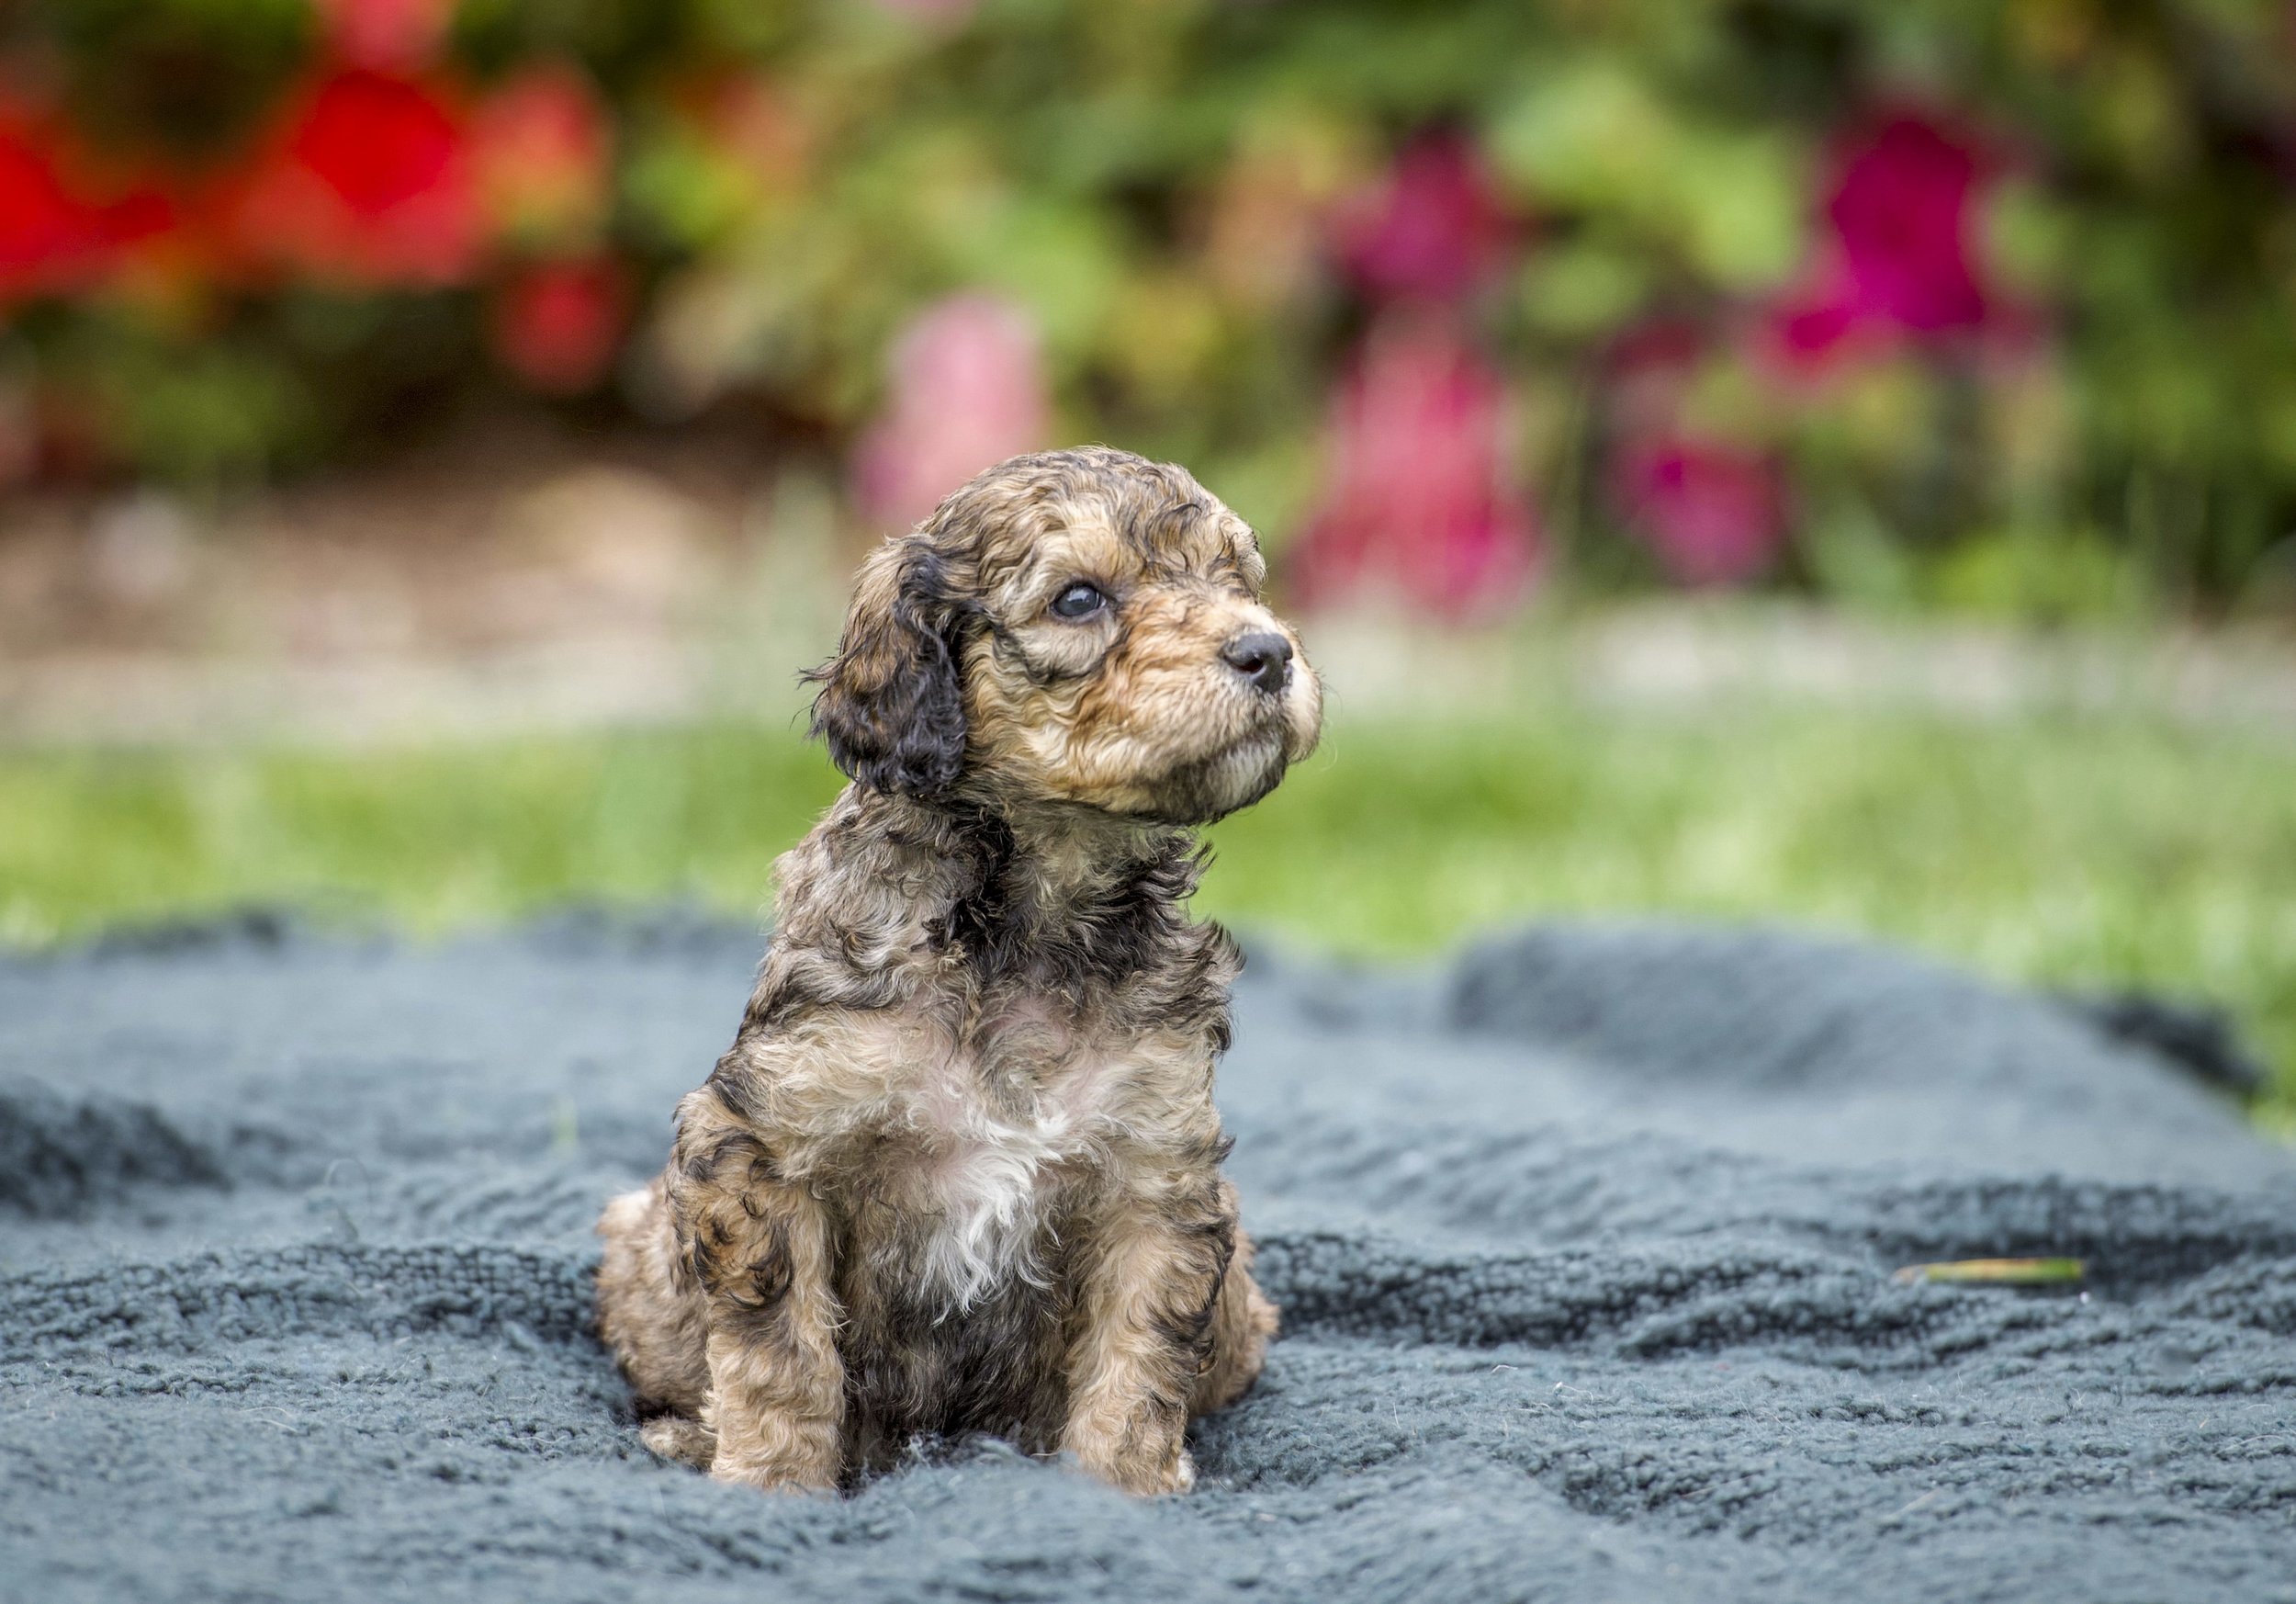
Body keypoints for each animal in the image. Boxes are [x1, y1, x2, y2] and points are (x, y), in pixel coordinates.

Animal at [597, 446, 1332, 1488]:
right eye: (1078, 598)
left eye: (1239, 583)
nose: (1269, 652)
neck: (1031, 919)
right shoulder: (765, 1144)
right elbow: (782, 1350)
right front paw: (773, 1484)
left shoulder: (1155, 1172)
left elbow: (1140, 1355)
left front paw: (1123, 1488)